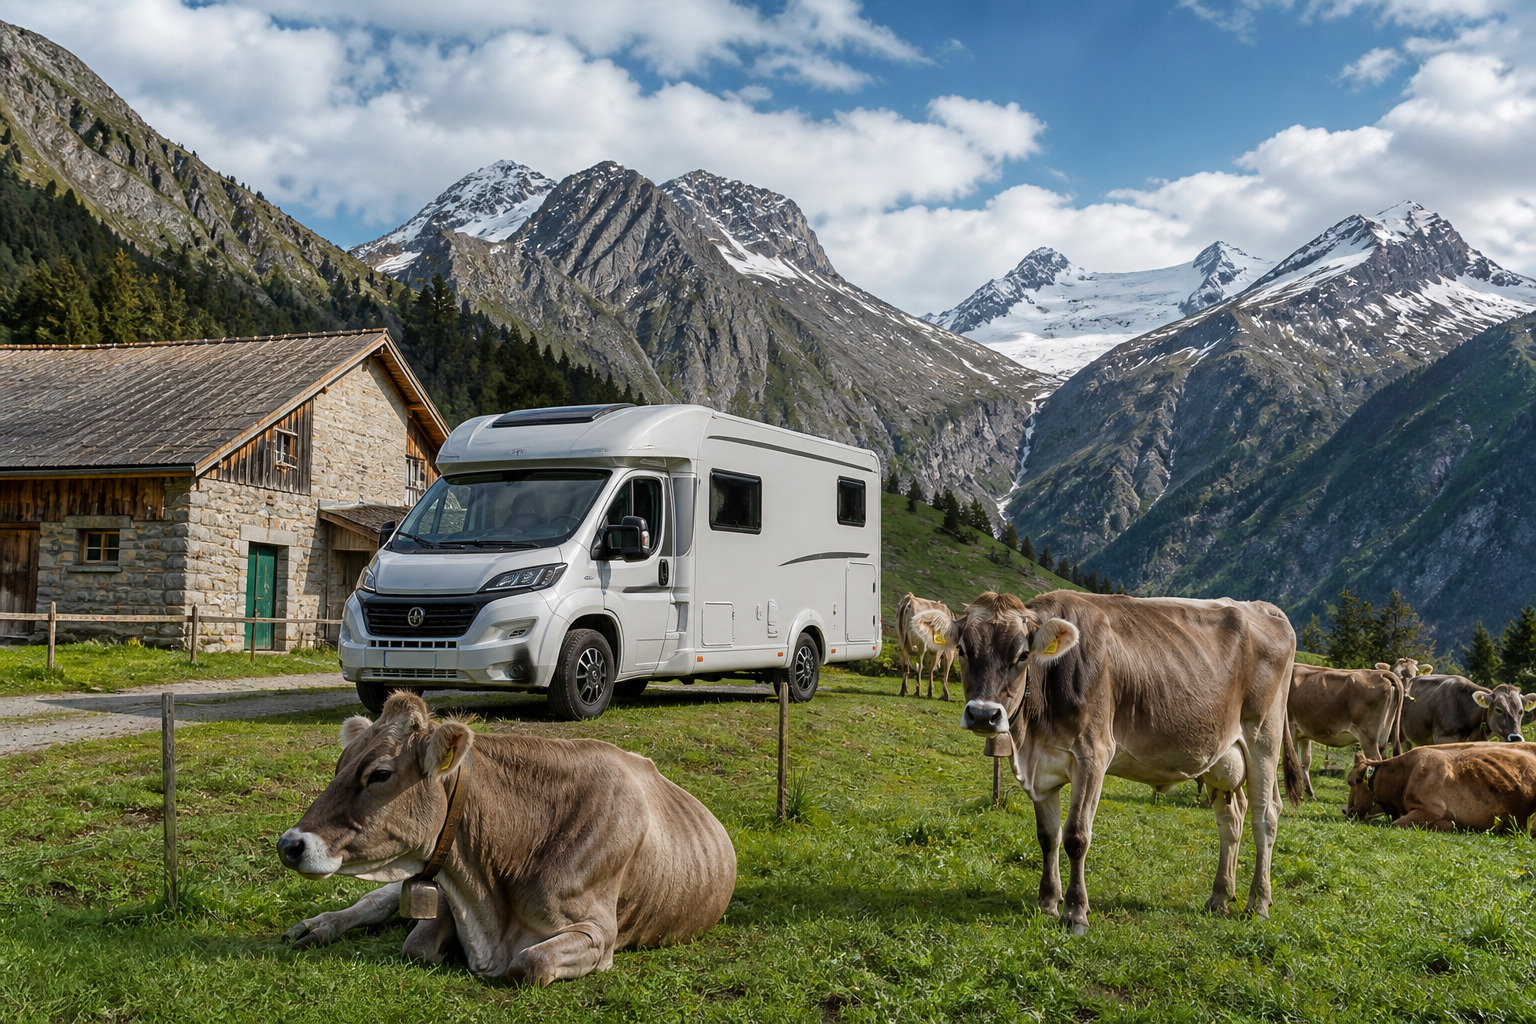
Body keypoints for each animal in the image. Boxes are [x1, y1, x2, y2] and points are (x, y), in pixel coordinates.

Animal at [276, 692, 737, 985]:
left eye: (380, 774)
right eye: (341, 764)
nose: (289, 845)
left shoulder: (600, 933)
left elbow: (529, 963)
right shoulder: (448, 889)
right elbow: (417, 944)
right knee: (375, 900)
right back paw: (316, 926)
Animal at [911, 591, 1302, 934]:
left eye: (1022, 655)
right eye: (963, 650)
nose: (983, 715)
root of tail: (1264, 608)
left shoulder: (1092, 755)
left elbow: (1075, 837)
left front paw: (1075, 913)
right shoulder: (1040, 768)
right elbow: (1047, 836)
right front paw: (1047, 901)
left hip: (1263, 737)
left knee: (1265, 817)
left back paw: (1258, 903)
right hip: (1221, 756)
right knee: (1231, 819)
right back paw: (1221, 896)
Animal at [1288, 663, 1405, 798]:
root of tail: (1381, 674)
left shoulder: (1290, 728)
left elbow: (1292, 761)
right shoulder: (1304, 734)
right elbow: (1305, 762)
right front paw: (1309, 793)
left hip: (1368, 738)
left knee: (1375, 762)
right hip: (1383, 736)